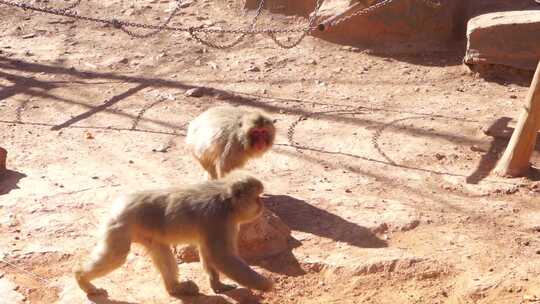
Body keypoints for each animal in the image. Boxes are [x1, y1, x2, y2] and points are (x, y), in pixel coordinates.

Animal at [74, 172, 274, 298]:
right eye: (256, 197)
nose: (261, 204)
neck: (227, 201)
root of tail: (121, 201)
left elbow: (208, 251)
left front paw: (218, 285)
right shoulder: (219, 220)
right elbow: (221, 256)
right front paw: (265, 284)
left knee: (159, 248)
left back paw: (175, 288)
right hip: (121, 223)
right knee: (117, 256)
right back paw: (81, 277)